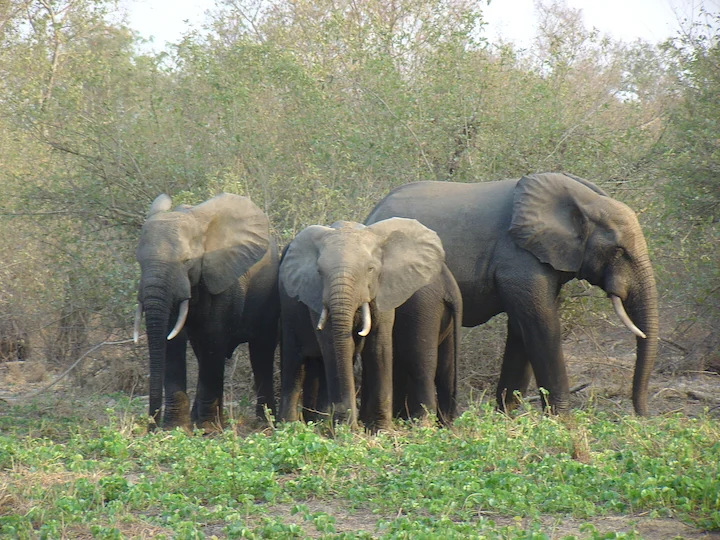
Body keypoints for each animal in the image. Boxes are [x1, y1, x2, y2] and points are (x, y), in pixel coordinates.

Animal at [133, 193, 280, 430]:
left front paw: (207, 429)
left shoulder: (222, 278)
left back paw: (263, 424)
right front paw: (176, 428)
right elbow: (172, 340)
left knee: (260, 351)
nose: (151, 427)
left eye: (187, 261)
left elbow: (213, 337)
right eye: (139, 262)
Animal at [278, 219, 450, 431]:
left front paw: (380, 430)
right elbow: (333, 345)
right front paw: (344, 430)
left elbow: (378, 346)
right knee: (295, 361)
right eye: (319, 272)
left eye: (370, 269)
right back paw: (289, 427)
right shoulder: (316, 295)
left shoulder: (384, 289)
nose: (350, 424)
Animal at [366, 172, 659, 416]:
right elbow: (541, 325)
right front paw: (562, 420)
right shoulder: (519, 258)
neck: (585, 201)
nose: (642, 417)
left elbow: (521, 329)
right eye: (619, 251)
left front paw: (505, 417)